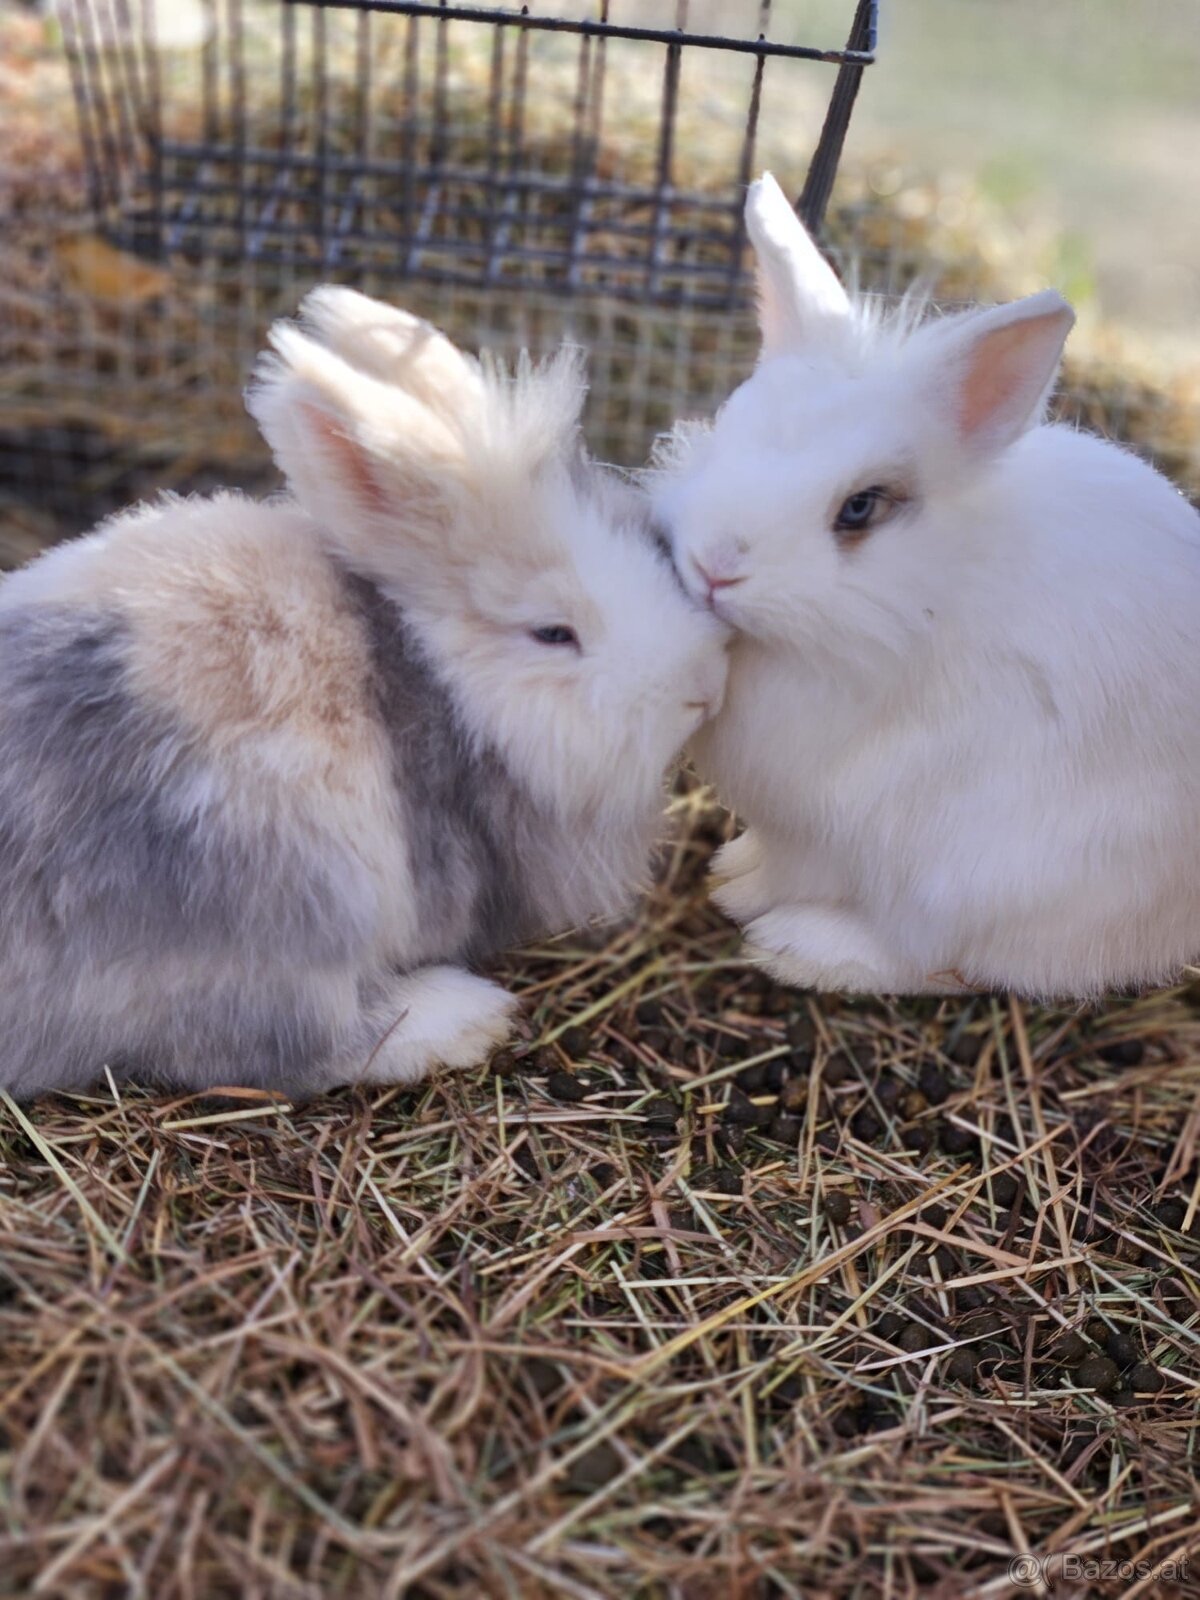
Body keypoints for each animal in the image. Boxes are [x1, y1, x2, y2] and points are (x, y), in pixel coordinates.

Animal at [0, 288, 728, 1097]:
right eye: (553, 633)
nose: (703, 689)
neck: (440, 680)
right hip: (294, 899)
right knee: (280, 1047)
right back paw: (461, 1018)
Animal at [652, 171, 1200, 1000]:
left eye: (859, 508)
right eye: (726, 428)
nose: (716, 565)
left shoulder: (828, 823)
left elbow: (803, 871)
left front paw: (744, 897)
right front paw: (730, 873)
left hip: (983, 873)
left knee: (942, 958)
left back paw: (800, 948)